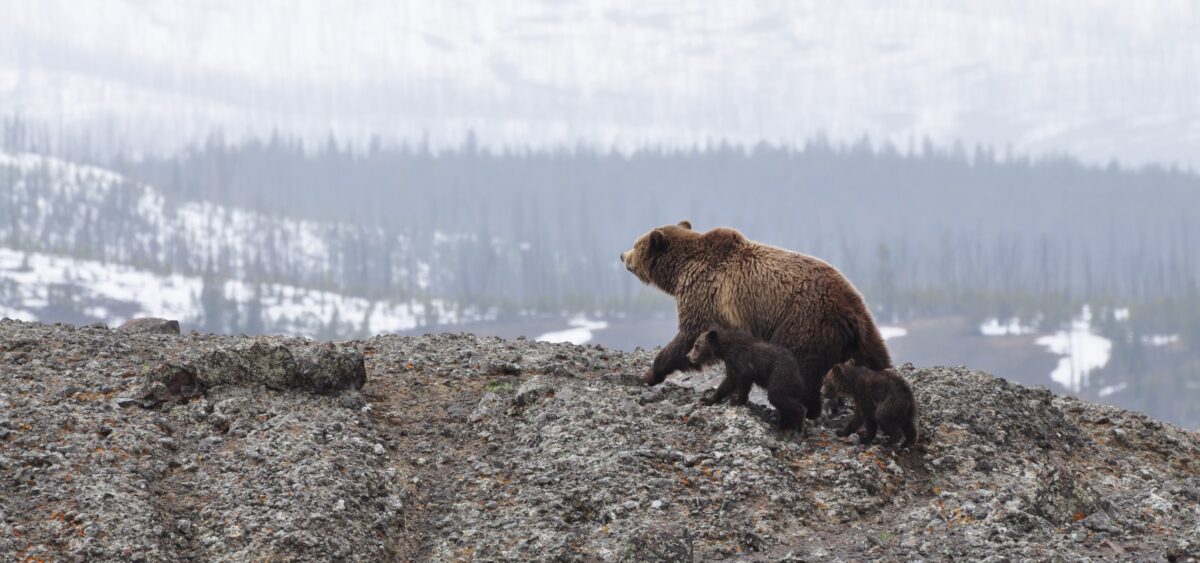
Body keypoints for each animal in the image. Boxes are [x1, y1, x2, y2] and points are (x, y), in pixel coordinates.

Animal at [619, 219, 892, 417]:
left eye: (636, 243)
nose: (622, 255)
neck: (680, 271)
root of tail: (849, 308)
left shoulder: (704, 294)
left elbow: (689, 336)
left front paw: (651, 373)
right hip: (864, 331)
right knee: (877, 361)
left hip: (804, 321)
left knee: (801, 368)